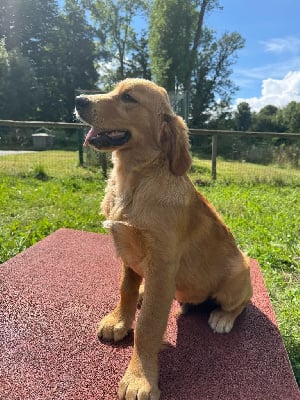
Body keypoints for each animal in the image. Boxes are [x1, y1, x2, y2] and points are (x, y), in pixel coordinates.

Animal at [75, 79, 253, 400]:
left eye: (128, 98)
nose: (78, 100)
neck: (133, 181)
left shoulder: (161, 264)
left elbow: (148, 327)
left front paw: (139, 379)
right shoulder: (128, 253)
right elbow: (125, 290)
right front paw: (119, 320)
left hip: (238, 276)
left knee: (242, 302)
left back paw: (222, 318)